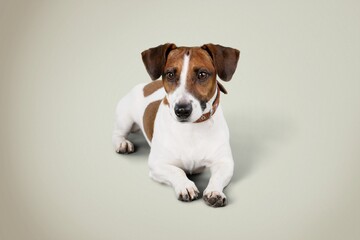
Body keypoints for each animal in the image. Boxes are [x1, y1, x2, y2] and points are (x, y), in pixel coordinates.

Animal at [112, 43, 240, 206]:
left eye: (202, 74)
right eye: (170, 74)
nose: (182, 110)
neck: (191, 128)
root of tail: (146, 84)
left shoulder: (224, 163)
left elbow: (217, 176)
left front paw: (214, 191)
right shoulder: (157, 164)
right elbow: (177, 171)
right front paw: (186, 186)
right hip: (125, 119)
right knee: (117, 134)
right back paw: (123, 144)